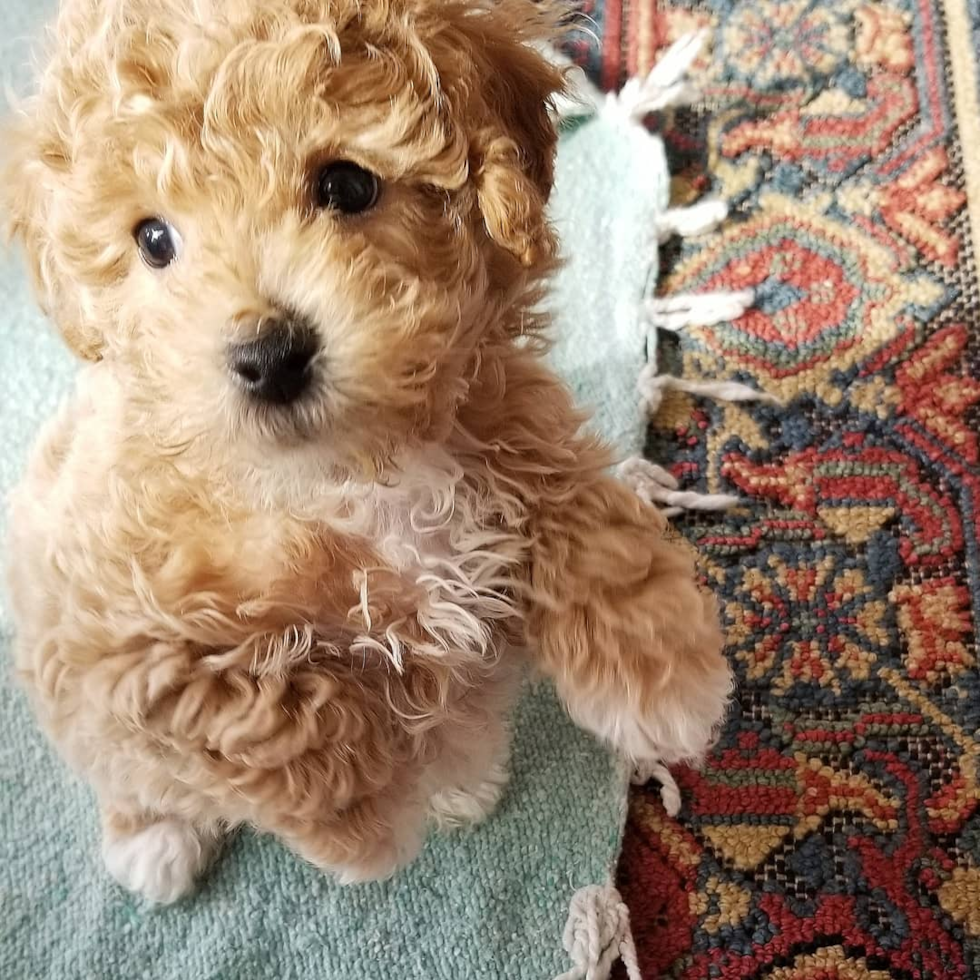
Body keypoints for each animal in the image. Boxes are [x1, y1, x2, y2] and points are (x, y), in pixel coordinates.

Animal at [3, 0, 732, 904]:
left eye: (346, 184)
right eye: (154, 241)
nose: (269, 356)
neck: (349, 473)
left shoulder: (512, 424)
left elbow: (582, 520)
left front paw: (663, 680)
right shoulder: (125, 641)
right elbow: (275, 714)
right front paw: (363, 825)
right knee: (133, 773)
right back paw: (155, 841)